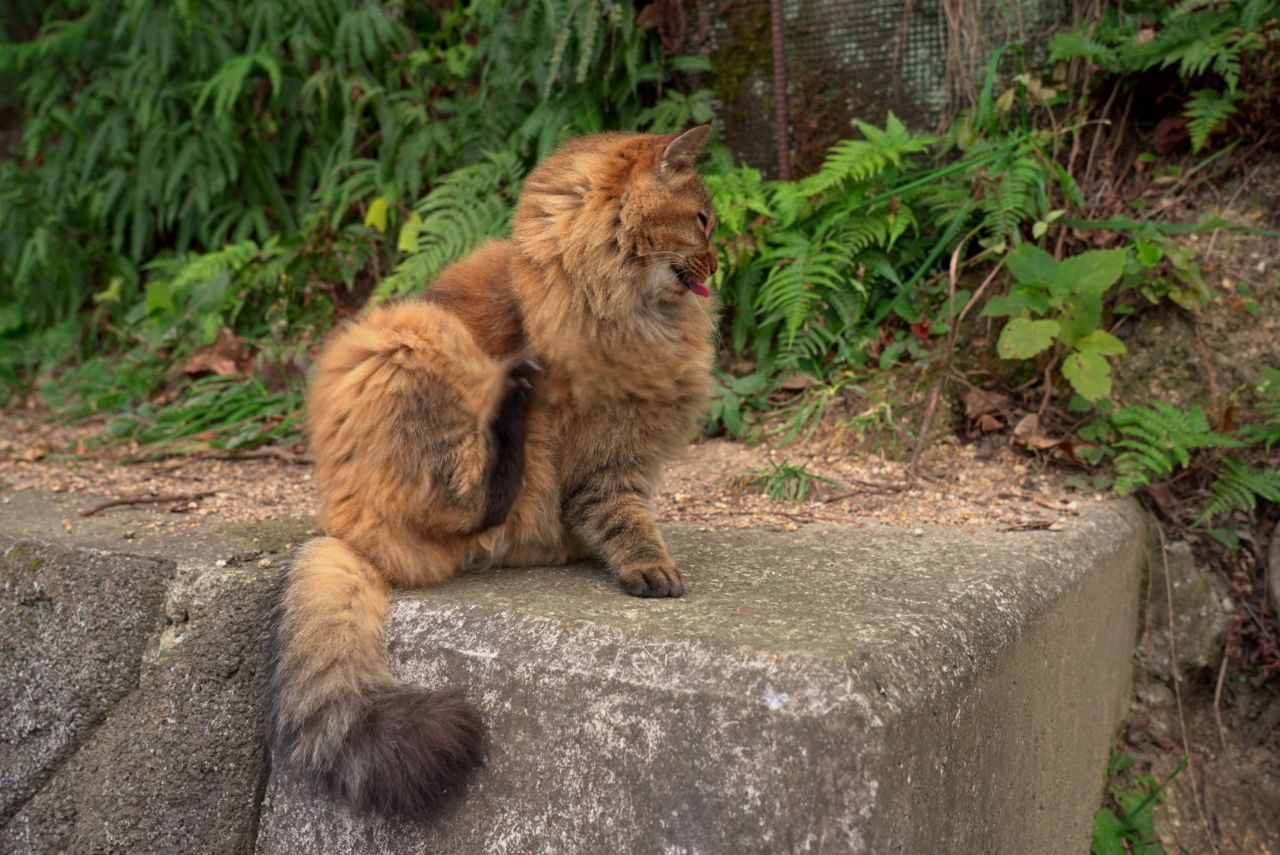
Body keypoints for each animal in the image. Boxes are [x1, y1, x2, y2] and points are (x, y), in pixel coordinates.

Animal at [266, 125, 718, 818]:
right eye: (702, 220)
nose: (719, 265)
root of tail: (342, 531)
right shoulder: (597, 464)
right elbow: (625, 521)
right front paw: (650, 569)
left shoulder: (625, 459)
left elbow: (628, 515)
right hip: (412, 335)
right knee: (482, 493)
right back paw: (515, 392)